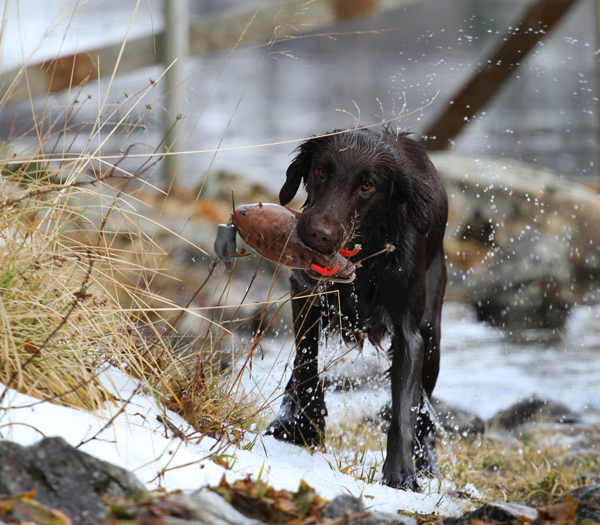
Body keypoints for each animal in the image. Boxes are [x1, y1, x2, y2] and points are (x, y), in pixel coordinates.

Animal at [264, 128, 448, 492]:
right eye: (322, 171)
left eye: (367, 185)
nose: (318, 235)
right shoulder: (304, 292)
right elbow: (306, 365)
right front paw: (305, 425)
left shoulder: (409, 334)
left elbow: (404, 409)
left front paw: (401, 473)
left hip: (432, 332)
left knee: (424, 406)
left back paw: (425, 462)